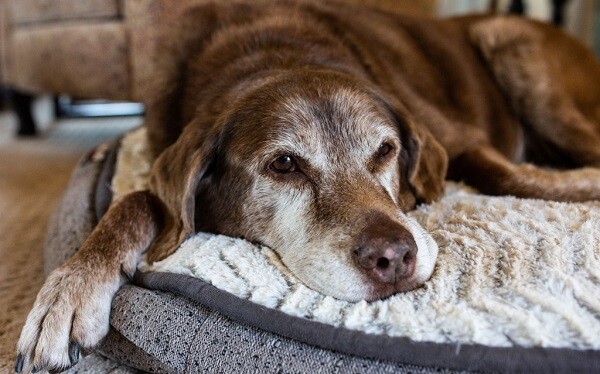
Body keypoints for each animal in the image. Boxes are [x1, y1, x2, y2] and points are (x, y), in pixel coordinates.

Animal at [12, 1, 600, 372]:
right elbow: (140, 200)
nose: (394, 259)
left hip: (519, 54)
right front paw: (69, 290)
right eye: (285, 164)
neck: (274, 52)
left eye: (385, 150)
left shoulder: (462, 140)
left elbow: (504, 174)